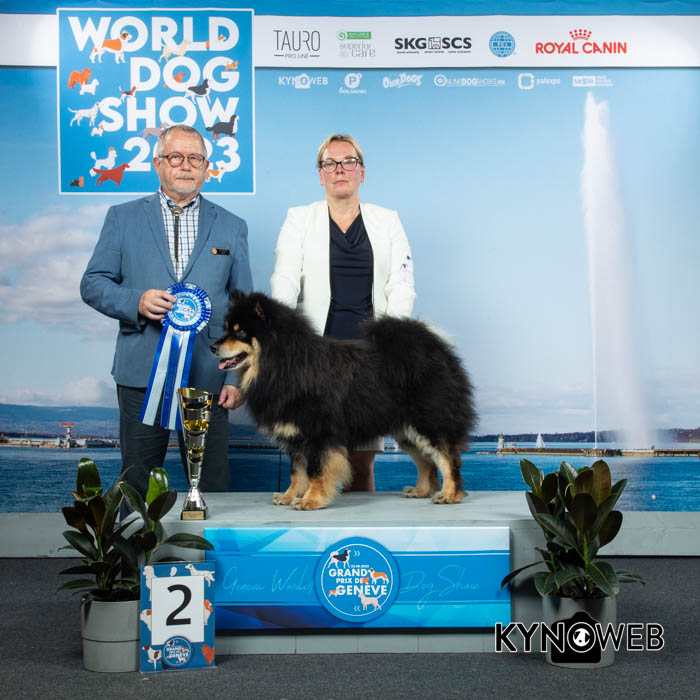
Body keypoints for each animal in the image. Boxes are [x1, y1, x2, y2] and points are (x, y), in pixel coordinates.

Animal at [211, 291, 476, 511]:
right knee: (426, 462)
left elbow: (315, 471)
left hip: (429, 423)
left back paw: (450, 494)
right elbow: (296, 473)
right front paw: (289, 496)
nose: (213, 346)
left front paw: (311, 500)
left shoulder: (319, 434)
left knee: (448, 459)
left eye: (241, 332)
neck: (286, 364)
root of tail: (438, 350)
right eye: (227, 329)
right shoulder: (296, 436)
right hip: (407, 431)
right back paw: (421, 490)